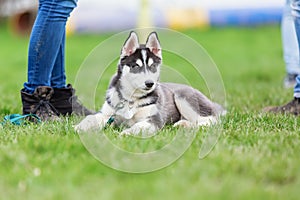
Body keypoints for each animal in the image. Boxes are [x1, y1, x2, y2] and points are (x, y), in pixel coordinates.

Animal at [75, 31, 225, 134]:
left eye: (153, 66)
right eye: (136, 66)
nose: (149, 84)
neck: (131, 100)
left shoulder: (153, 120)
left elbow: (138, 126)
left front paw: (127, 133)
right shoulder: (108, 114)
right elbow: (91, 118)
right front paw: (78, 127)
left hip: (183, 96)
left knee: (211, 121)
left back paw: (187, 126)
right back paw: (183, 124)